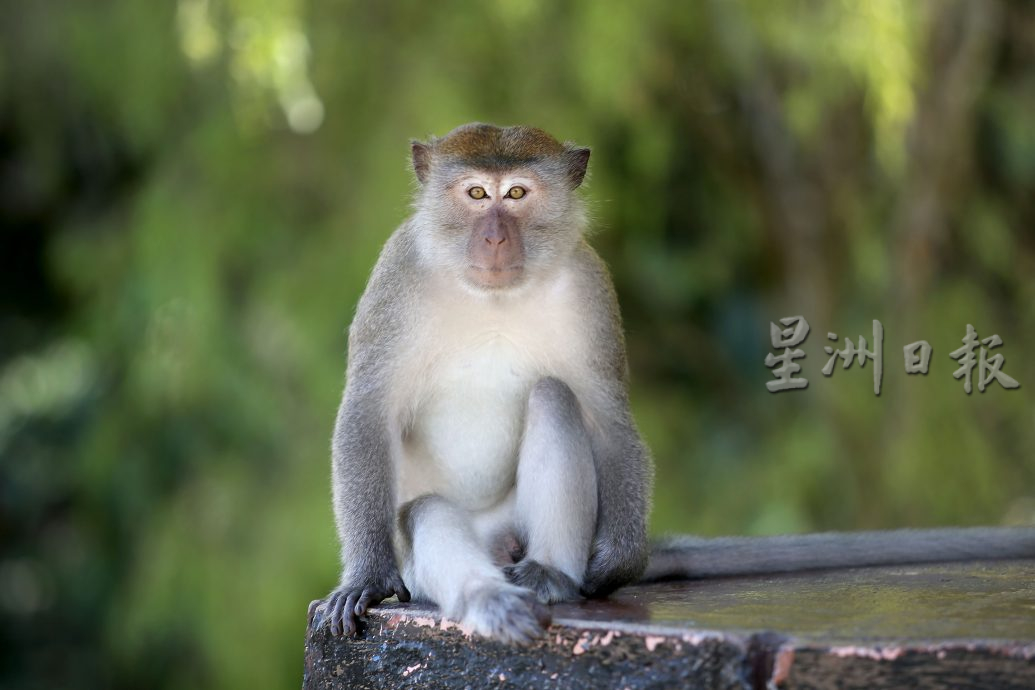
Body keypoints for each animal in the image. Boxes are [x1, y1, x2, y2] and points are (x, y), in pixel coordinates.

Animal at [310, 121, 1035, 645]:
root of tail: (503, 544)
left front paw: (617, 563)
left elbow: (605, 412)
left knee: (554, 398)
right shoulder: (396, 279)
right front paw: (366, 579)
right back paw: (493, 601)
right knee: (424, 514)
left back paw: (549, 577)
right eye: (474, 194)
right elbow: (366, 413)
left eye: (515, 194)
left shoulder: (590, 287)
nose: (493, 237)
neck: (491, 298)